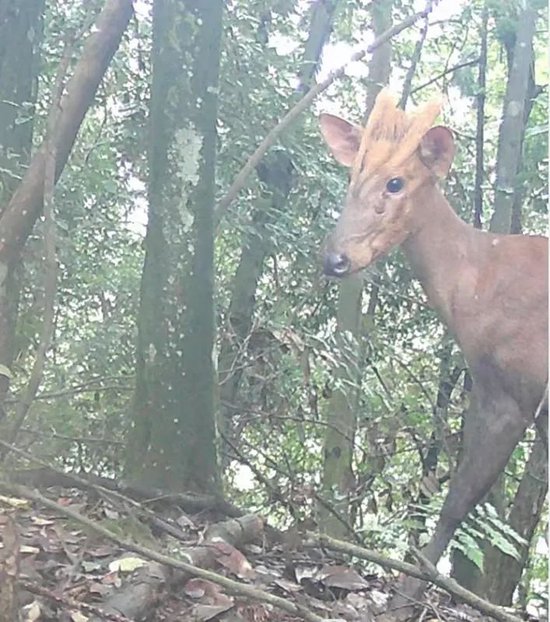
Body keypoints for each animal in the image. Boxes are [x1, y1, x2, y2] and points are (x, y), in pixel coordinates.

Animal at [322, 90, 548, 620]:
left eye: (396, 182)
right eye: (352, 176)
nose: (334, 259)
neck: (477, 288)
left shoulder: (517, 390)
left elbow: (457, 500)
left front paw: (405, 599)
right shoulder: (501, 391)